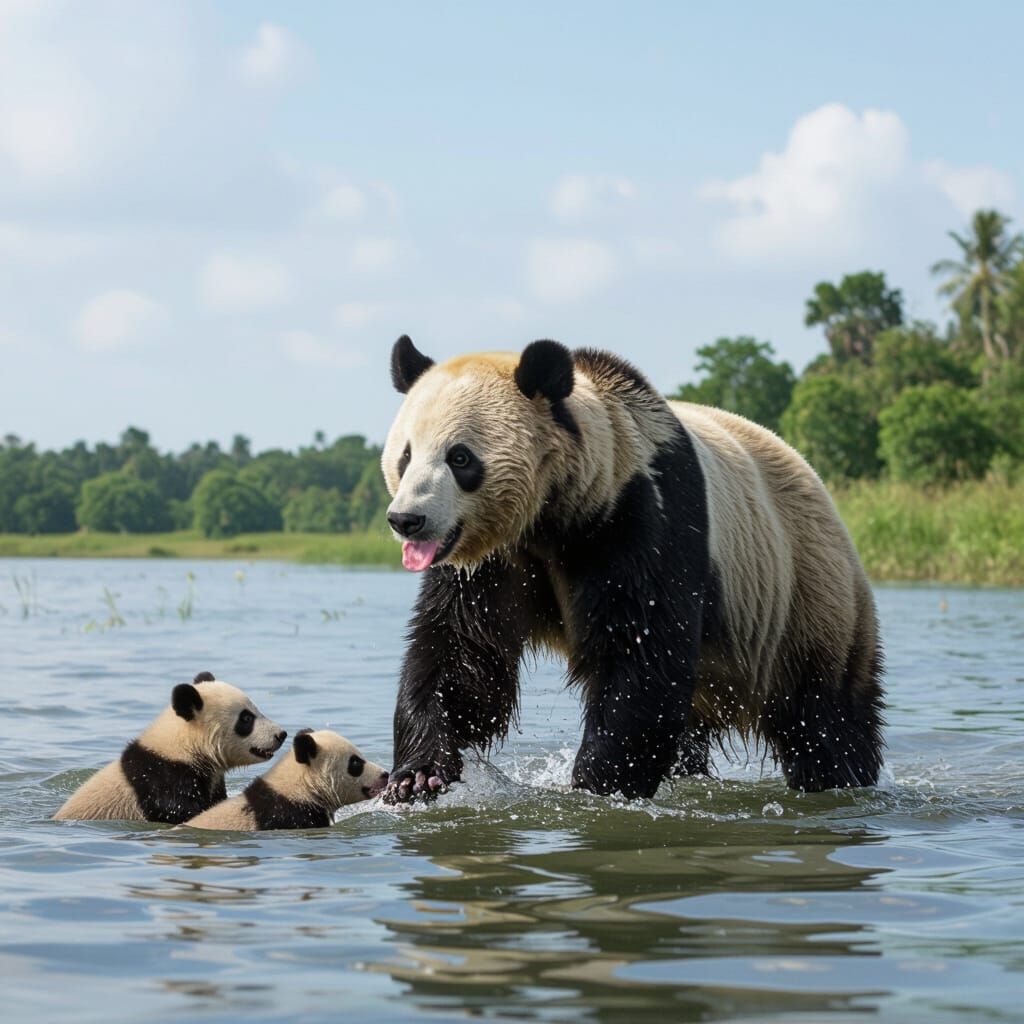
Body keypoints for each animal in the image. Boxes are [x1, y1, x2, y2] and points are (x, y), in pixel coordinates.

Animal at [379, 336, 885, 802]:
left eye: (460, 457)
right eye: (406, 455)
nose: (406, 520)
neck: (549, 515)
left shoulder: (637, 514)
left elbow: (640, 656)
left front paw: (599, 785)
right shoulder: (492, 559)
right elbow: (462, 654)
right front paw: (419, 775)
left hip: (806, 594)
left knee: (826, 717)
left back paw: (840, 780)